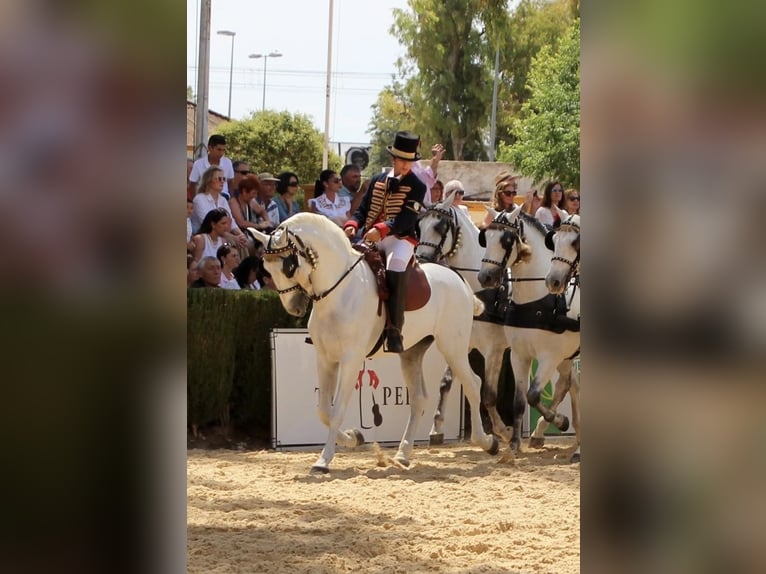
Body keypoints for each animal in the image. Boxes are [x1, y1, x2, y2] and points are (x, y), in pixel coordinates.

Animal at [246, 214, 498, 474]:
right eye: (266, 268)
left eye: (288, 266)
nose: (294, 306)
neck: (339, 290)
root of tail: (458, 279)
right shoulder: (325, 358)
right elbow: (324, 410)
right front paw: (353, 437)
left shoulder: (350, 359)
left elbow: (337, 410)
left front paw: (324, 460)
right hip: (412, 353)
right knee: (419, 398)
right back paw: (403, 454)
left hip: (453, 347)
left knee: (473, 384)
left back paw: (488, 442)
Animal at [420, 194, 516, 440]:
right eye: (419, 225)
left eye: (439, 227)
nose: (420, 258)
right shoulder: (461, 344)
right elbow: (446, 382)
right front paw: (437, 426)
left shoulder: (494, 349)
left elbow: (489, 393)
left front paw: (502, 430)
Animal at [480, 208, 584, 464]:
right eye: (485, 238)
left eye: (506, 240)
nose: (485, 277)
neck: (535, 300)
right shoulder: (519, 355)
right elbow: (519, 401)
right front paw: (515, 444)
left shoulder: (549, 357)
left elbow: (534, 395)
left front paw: (560, 421)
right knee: (567, 385)